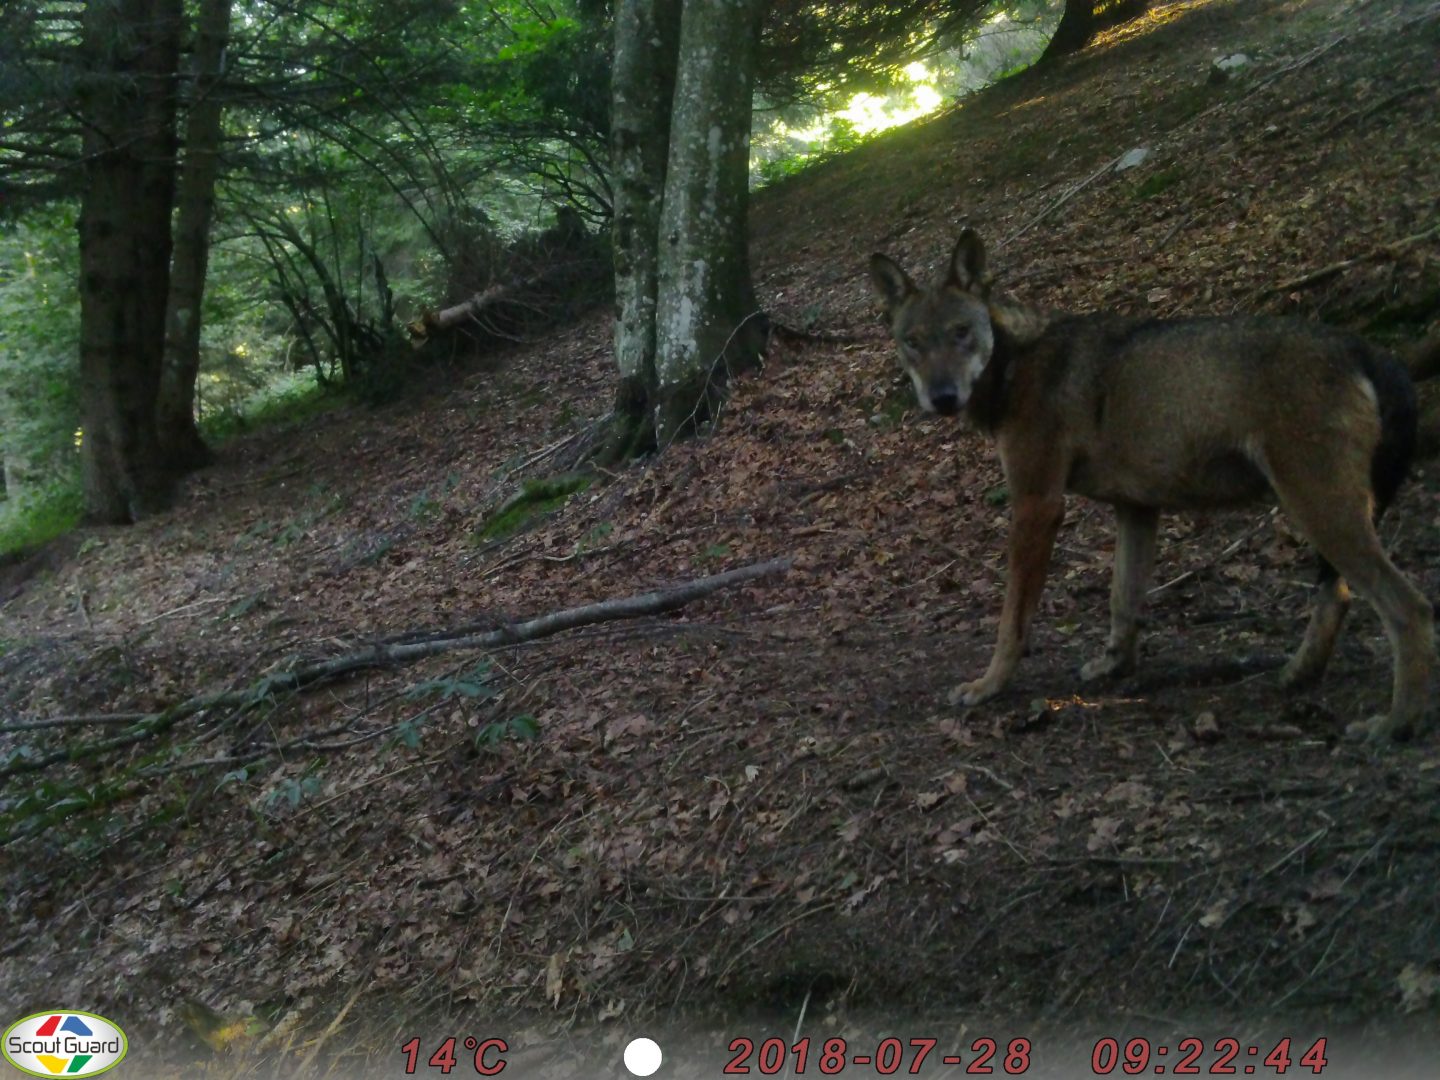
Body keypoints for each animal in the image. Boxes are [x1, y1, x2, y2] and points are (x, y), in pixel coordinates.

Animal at [869, 230, 1435, 740]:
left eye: (961, 332)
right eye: (913, 342)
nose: (942, 397)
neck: (1015, 363)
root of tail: (1367, 347)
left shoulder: (1036, 505)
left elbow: (1013, 619)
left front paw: (988, 686)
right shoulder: (1135, 509)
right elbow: (1123, 601)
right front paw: (1114, 667)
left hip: (1318, 510)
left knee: (1409, 608)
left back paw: (1396, 724)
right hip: (1327, 516)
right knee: (1339, 596)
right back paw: (1298, 675)